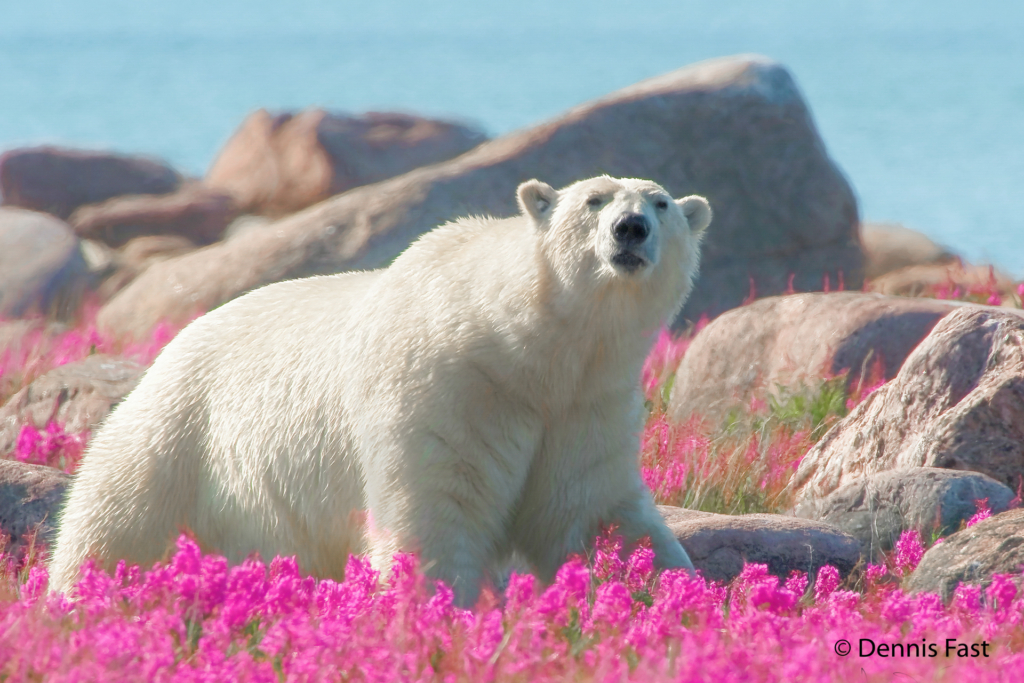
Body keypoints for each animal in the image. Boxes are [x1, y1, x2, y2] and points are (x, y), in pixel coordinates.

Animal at [49, 175, 712, 602]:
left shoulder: (585, 406)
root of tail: (176, 341)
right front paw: (433, 614)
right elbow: (437, 511)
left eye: (661, 203)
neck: (528, 349)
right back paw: (76, 600)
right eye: (592, 199)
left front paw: (677, 597)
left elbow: (595, 515)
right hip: (181, 431)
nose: (631, 228)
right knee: (114, 518)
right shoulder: (451, 387)